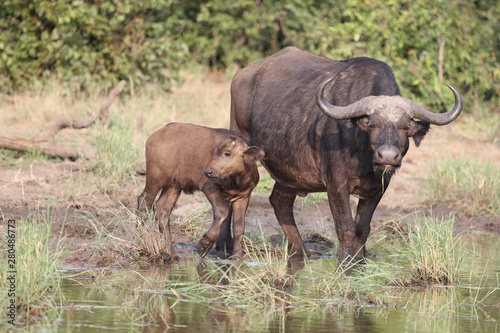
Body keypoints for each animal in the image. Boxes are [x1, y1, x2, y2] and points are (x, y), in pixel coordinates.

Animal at [135, 122, 264, 260]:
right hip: (155, 178)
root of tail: (156, 134)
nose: (208, 171)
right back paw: (141, 243)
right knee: (144, 203)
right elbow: (222, 211)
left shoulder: (244, 197)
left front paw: (237, 257)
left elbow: (239, 227)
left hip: (173, 185)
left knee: (163, 210)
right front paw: (204, 245)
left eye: (227, 153)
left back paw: (171, 253)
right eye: (215, 153)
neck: (235, 179)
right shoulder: (209, 187)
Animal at [229, 47, 462, 262]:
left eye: (406, 127)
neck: (364, 157)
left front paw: (359, 260)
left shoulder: (379, 187)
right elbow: (345, 228)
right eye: (371, 124)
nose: (387, 156)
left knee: (279, 202)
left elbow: (362, 229)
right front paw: (345, 263)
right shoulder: (335, 184)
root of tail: (242, 74)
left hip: (290, 173)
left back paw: (302, 253)